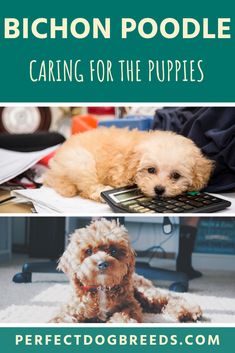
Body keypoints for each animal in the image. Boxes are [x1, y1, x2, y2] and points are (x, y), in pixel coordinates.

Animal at [42, 126, 213, 201]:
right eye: (151, 170)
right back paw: (100, 192)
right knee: (88, 185)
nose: (159, 189)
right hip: (81, 161)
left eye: (176, 175)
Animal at [51, 217, 202, 322]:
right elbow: (61, 319)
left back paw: (187, 311)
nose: (102, 264)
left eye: (113, 250)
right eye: (88, 251)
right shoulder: (72, 309)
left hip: (146, 293)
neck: (102, 288)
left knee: (170, 298)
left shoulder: (130, 305)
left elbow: (124, 315)